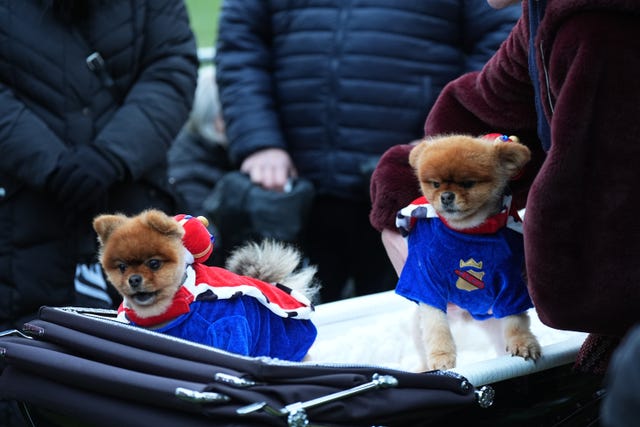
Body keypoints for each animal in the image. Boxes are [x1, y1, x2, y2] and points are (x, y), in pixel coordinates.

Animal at [398, 134, 544, 372]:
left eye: (468, 183)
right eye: (435, 184)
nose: (446, 196)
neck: (468, 230)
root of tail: (468, 317)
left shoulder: (511, 285)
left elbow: (516, 321)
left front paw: (523, 343)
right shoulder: (427, 282)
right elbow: (436, 327)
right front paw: (442, 357)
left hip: (494, 322)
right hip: (417, 327)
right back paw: (424, 368)